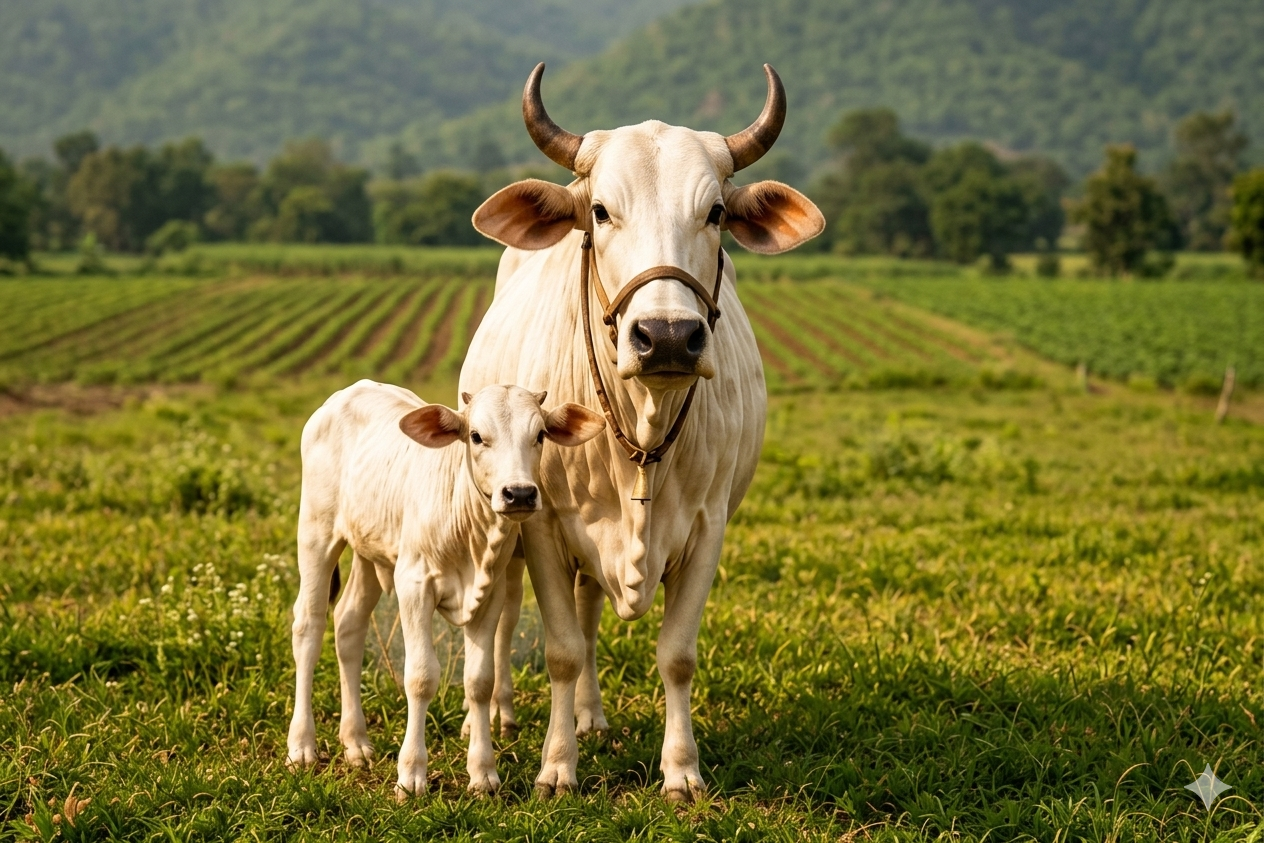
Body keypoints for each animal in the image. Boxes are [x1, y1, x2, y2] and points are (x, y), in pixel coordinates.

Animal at [285, 380, 604, 797]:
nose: (519, 493)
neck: (469, 532)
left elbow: (479, 681)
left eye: (539, 435)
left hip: (370, 551)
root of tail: (348, 392)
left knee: (348, 625)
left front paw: (483, 774)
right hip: (316, 532)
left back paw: (356, 742)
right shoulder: (413, 585)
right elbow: (420, 677)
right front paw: (411, 775)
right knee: (308, 627)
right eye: (476, 436)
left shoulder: (489, 594)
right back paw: (302, 746)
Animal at [459, 63, 824, 801]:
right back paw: (507, 713)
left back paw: (593, 717)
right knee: (512, 612)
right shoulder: (542, 524)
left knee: (591, 610)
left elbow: (675, 654)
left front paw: (681, 769)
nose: (667, 337)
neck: (641, 426)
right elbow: (562, 650)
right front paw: (556, 768)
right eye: (601, 210)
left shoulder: (709, 526)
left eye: (715, 212)